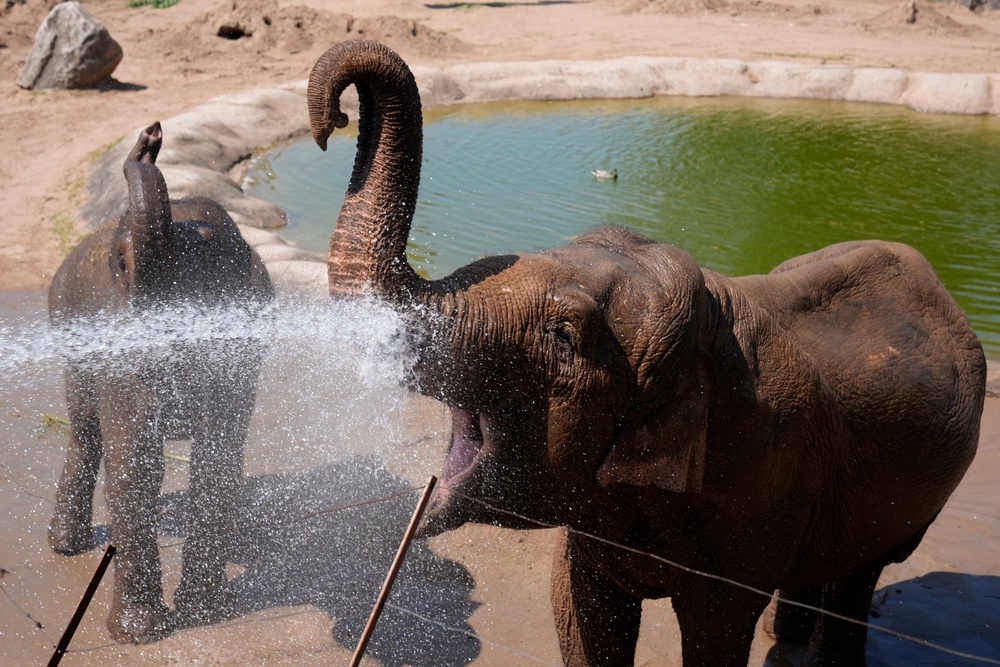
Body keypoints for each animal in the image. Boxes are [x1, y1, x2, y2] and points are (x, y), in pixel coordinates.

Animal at [47, 122, 274, 643]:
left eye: (208, 269)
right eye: (119, 263)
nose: (150, 137)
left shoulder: (239, 355)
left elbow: (215, 459)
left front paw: (205, 614)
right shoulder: (116, 348)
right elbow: (136, 463)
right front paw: (139, 635)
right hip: (66, 320)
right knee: (85, 430)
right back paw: (65, 547)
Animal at [307, 40, 987, 666]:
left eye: (562, 336)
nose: (328, 122)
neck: (709, 339)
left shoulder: (760, 487)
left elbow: (715, 632)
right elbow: (580, 609)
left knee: (862, 573)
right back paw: (786, 638)